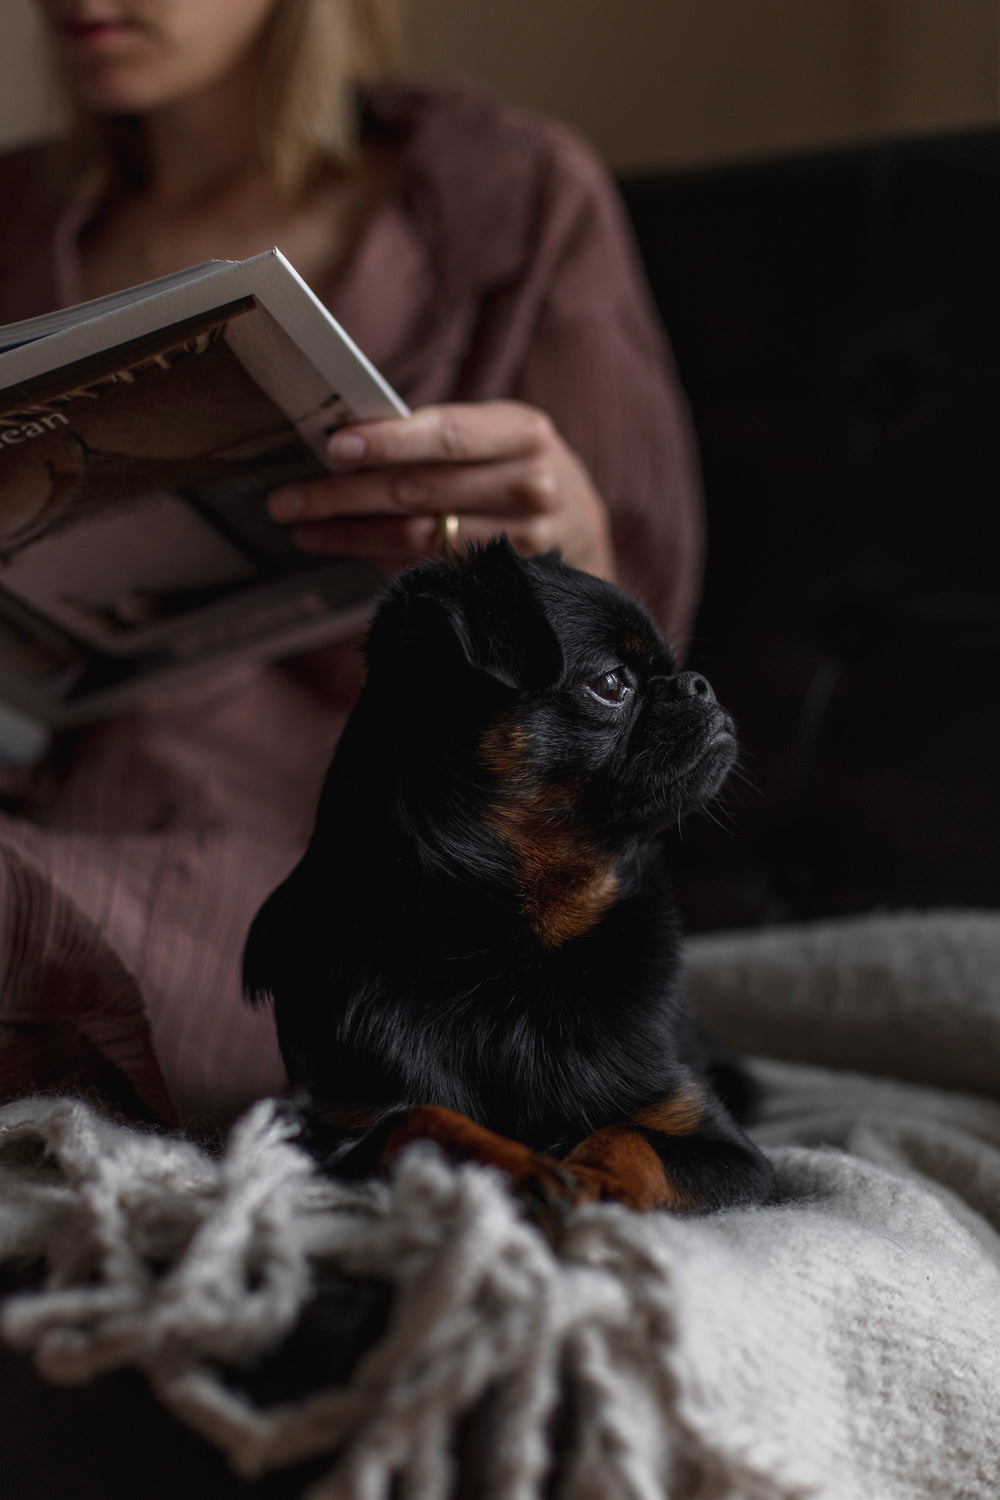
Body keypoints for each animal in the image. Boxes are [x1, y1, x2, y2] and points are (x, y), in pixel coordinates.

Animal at [242, 540, 773, 1218]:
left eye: (679, 673)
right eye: (612, 685)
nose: (698, 684)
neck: (511, 946)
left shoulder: (724, 1148)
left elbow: (630, 1137)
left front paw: (594, 1176)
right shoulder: (330, 1134)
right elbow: (418, 1119)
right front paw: (520, 1168)